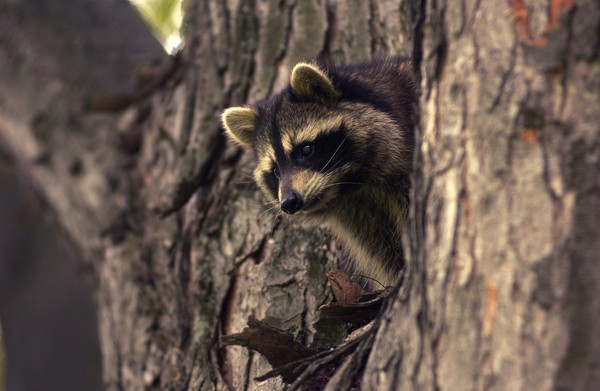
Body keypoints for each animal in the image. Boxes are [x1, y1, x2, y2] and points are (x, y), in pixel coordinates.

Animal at [223, 56, 414, 286]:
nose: (289, 202)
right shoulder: (360, 212)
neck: (352, 185)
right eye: (276, 171)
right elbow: (382, 249)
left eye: (306, 150)